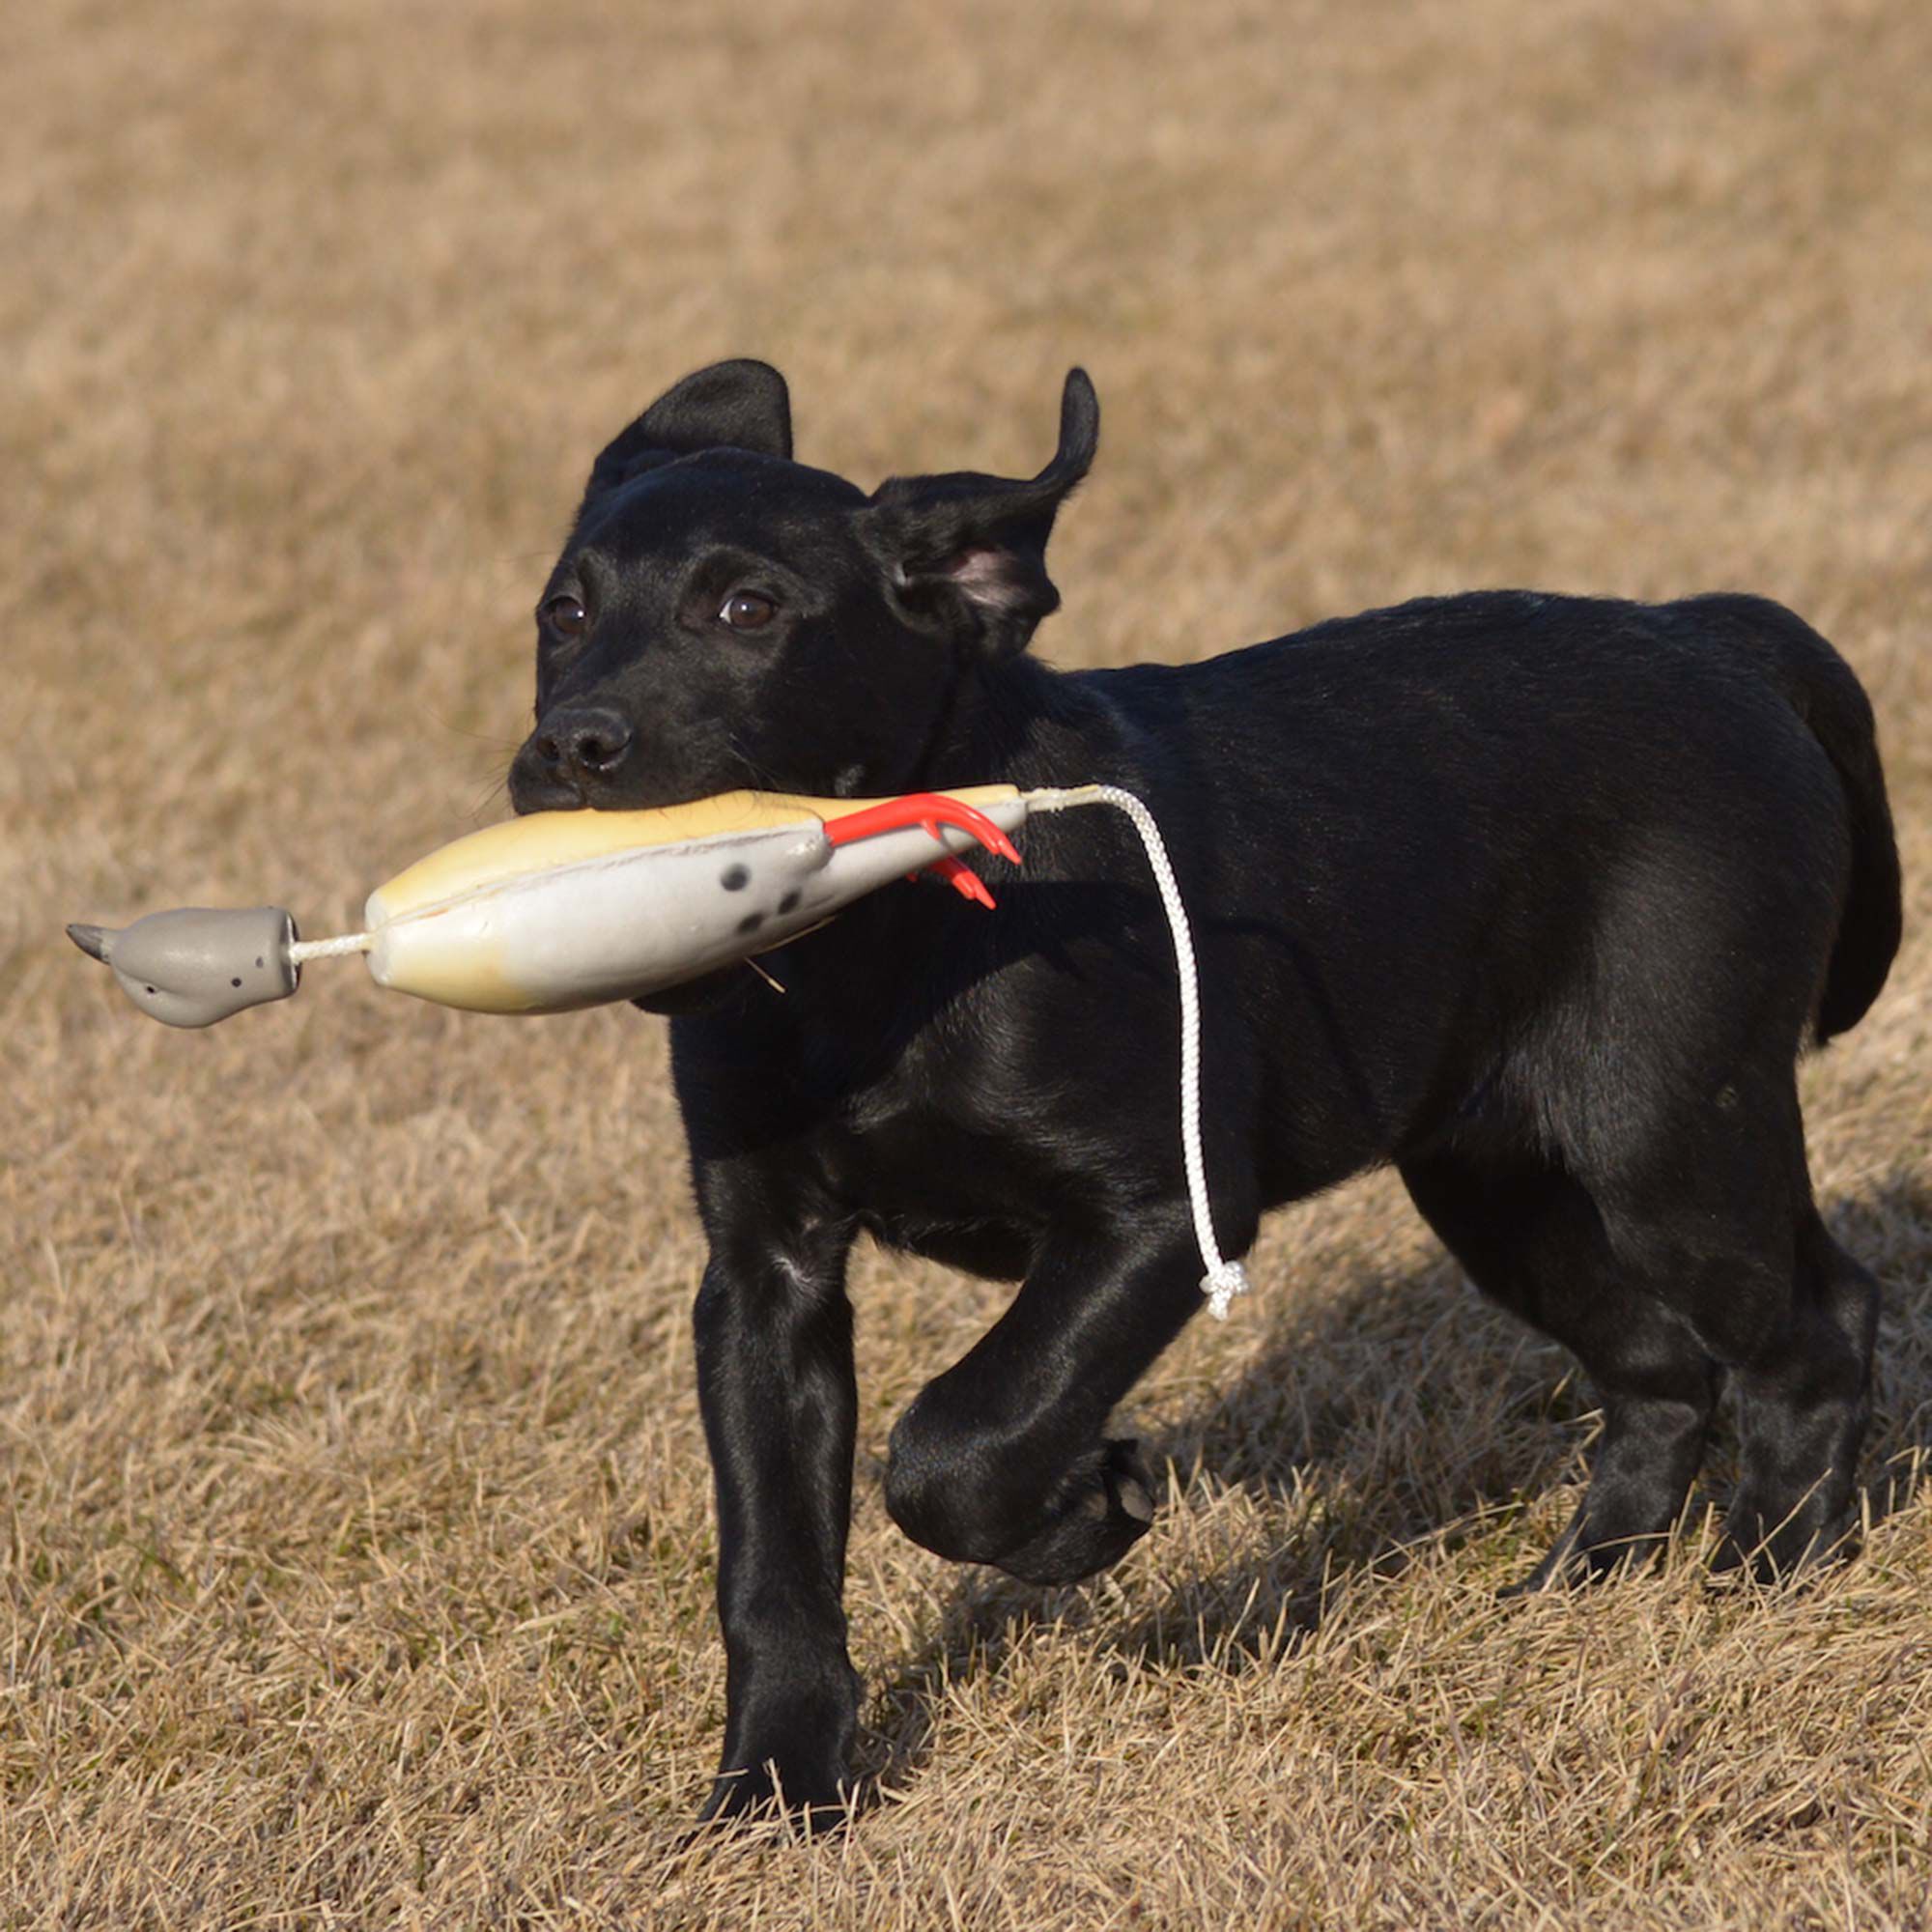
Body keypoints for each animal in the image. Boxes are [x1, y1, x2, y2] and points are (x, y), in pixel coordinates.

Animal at [506, 363, 1893, 1824]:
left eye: (749, 610)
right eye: (563, 611)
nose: (572, 746)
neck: (873, 959)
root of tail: (1718, 637)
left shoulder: (1161, 1210)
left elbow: (960, 1438)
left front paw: (1085, 1510)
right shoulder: (763, 1274)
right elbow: (774, 1555)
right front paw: (776, 1786)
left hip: (1665, 1136)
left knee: (1814, 1327)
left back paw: (1765, 1578)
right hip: (1499, 1184)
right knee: (1660, 1368)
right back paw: (1583, 1589)